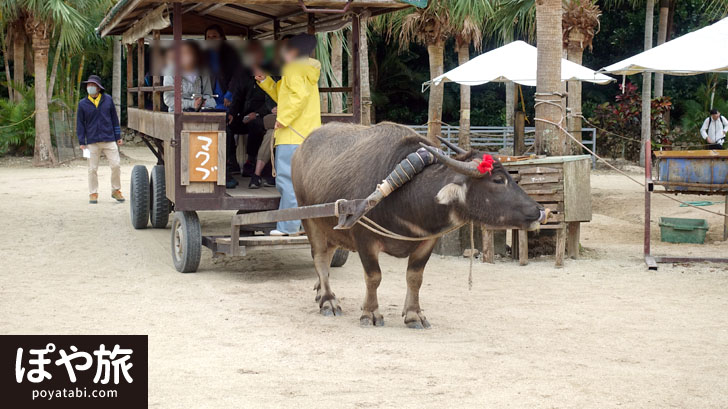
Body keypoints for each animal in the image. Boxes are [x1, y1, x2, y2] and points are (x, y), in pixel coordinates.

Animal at [292, 122, 544, 328]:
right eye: (498, 180)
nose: (540, 210)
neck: (406, 196)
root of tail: (301, 149)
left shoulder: (427, 241)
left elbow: (415, 278)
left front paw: (414, 314)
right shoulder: (365, 239)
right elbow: (374, 276)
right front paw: (370, 313)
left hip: (331, 228)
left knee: (327, 256)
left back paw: (320, 292)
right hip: (310, 220)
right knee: (320, 258)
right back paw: (328, 301)